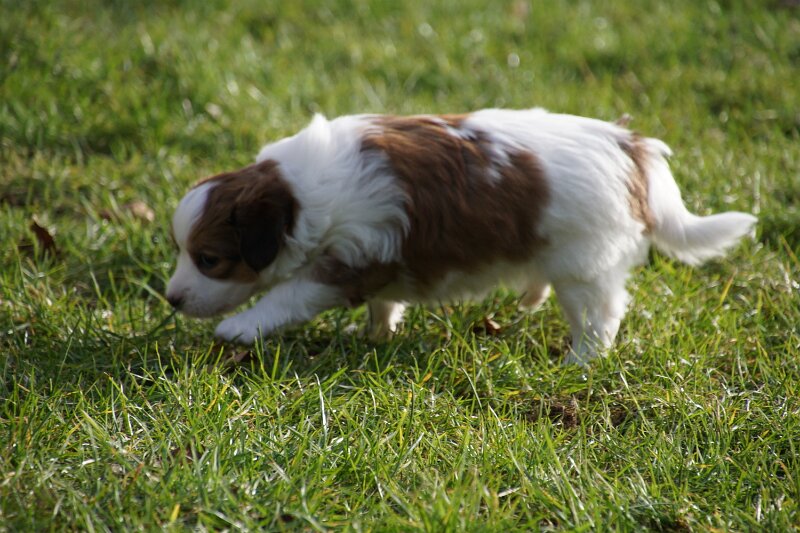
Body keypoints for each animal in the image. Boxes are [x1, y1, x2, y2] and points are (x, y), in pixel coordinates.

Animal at [165, 109, 756, 365]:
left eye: (209, 259)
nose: (170, 300)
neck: (301, 192)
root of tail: (632, 148)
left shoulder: (345, 260)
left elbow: (287, 294)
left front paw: (241, 328)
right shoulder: (376, 260)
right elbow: (383, 303)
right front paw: (377, 334)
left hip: (585, 263)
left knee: (601, 315)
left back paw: (580, 361)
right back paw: (531, 295)